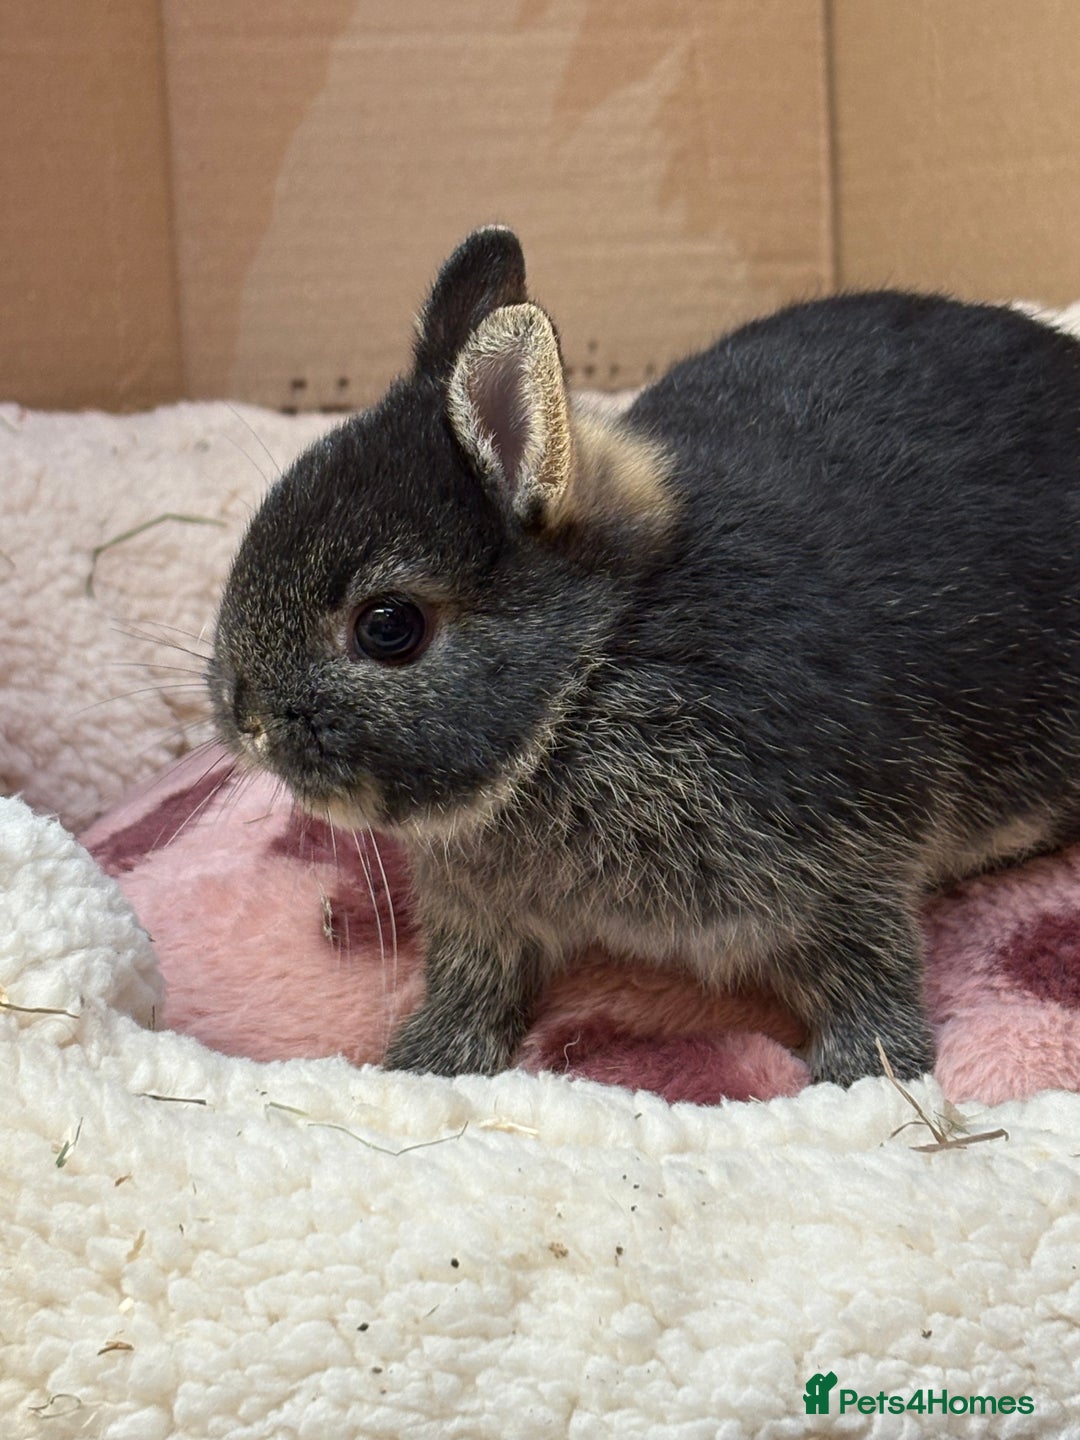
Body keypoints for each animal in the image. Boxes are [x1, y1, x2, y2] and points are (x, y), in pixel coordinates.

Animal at [209, 225, 1080, 1087]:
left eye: (388, 627)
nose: (246, 721)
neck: (592, 672)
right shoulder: (481, 920)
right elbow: (473, 981)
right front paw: (427, 1063)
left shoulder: (848, 867)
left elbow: (870, 969)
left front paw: (870, 1074)